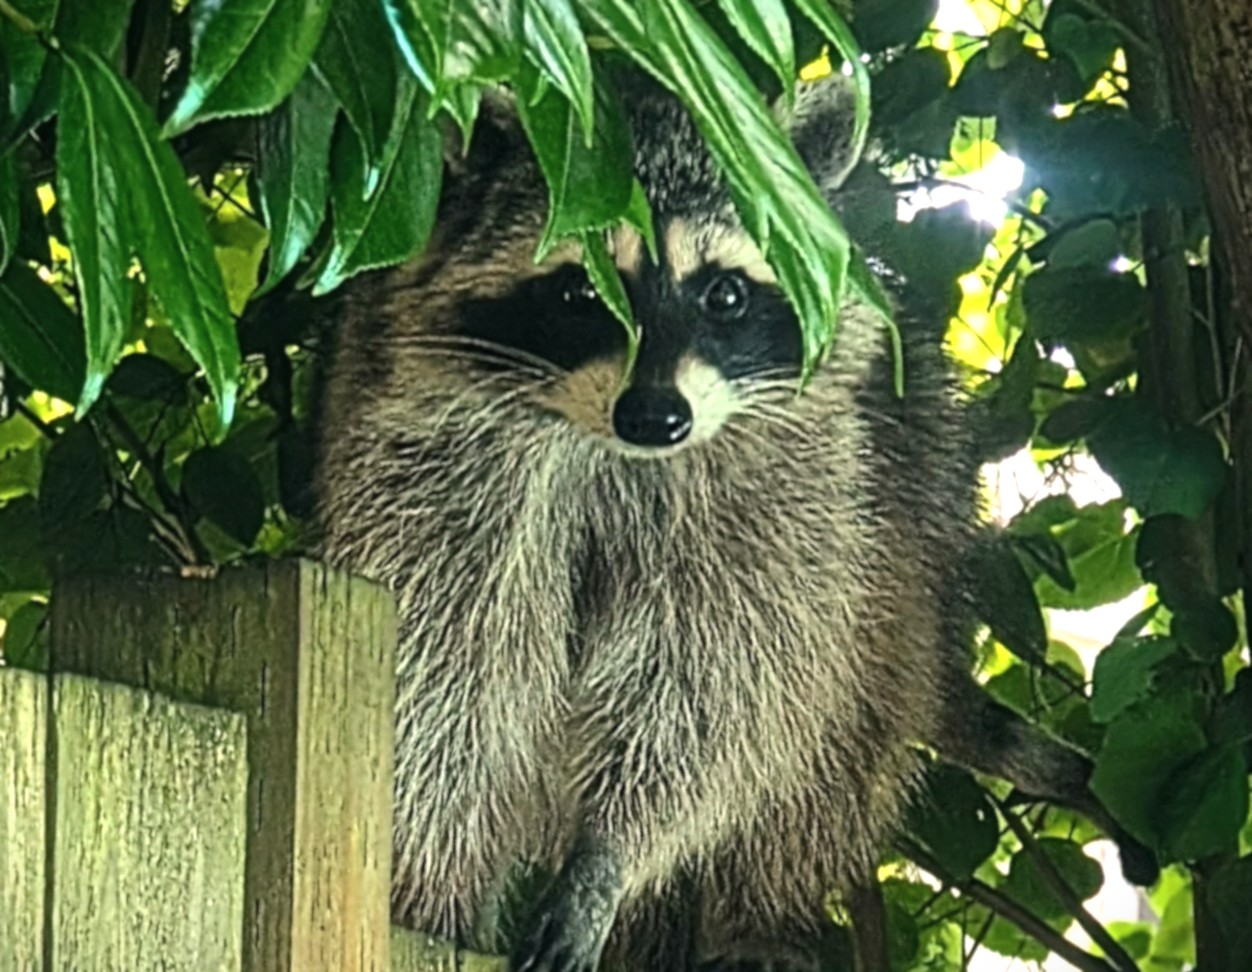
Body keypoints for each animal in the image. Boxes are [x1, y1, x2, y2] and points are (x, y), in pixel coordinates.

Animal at [309, 71, 1153, 971]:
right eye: (580, 292)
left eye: (724, 293)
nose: (655, 417)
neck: (613, 450)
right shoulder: (443, 464)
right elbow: (455, 671)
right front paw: (435, 888)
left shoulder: (799, 496)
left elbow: (721, 692)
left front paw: (609, 855)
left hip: (904, 566)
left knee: (833, 739)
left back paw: (758, 912)